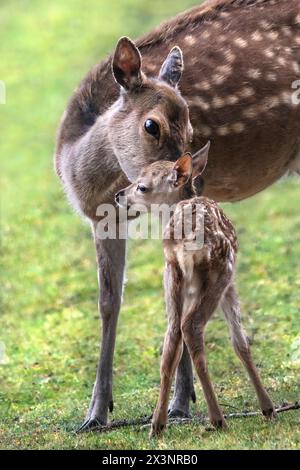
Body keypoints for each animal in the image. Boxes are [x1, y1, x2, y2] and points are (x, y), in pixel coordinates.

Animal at [55, 0, 298, 432]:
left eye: (190, 128)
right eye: (151, 125)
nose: (190, 179)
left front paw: (181, 405)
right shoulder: (103, 220)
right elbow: (109, 302)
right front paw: (96, 413)